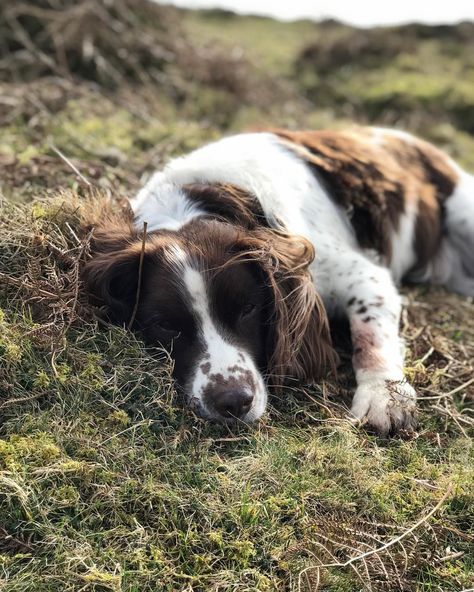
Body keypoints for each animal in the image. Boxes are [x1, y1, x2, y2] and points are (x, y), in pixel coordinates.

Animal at [82, 128, 474, 434]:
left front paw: (383, 395)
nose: (233, 402)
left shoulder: (356, 273)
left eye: (248, 308)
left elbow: (371, 334)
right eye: (165, 325)